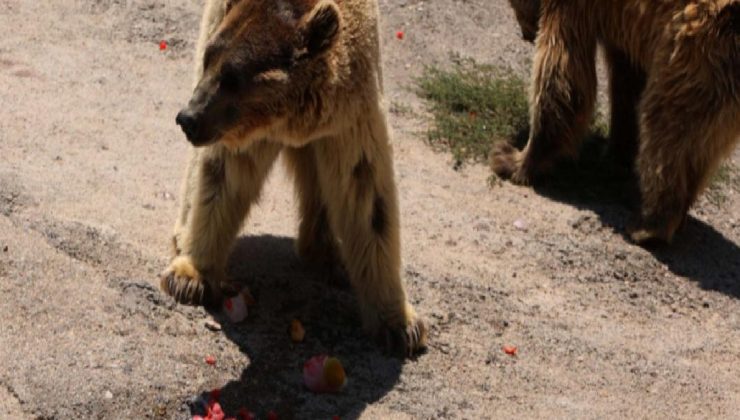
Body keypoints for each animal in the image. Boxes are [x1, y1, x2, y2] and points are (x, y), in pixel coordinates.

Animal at [162, 0, 428, 358]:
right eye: (209, 60)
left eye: (233, 77)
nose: (188, 118)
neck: (288, 120)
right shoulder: (237, 129)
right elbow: (223, 175)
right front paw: (189, 277)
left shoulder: (352, 115)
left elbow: (367, 197)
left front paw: (401, 327)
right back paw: (183, 234)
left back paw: (326, 254)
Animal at [498, 0, 740, 244]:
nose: (527, 35)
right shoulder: (626, 30)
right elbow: (627, 84)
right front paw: (615, 156)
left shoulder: (572, 8)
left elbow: (562, 70)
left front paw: (513, 159)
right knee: (695, 146)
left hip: (699, 52)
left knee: (667, 129)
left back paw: (648, 226)